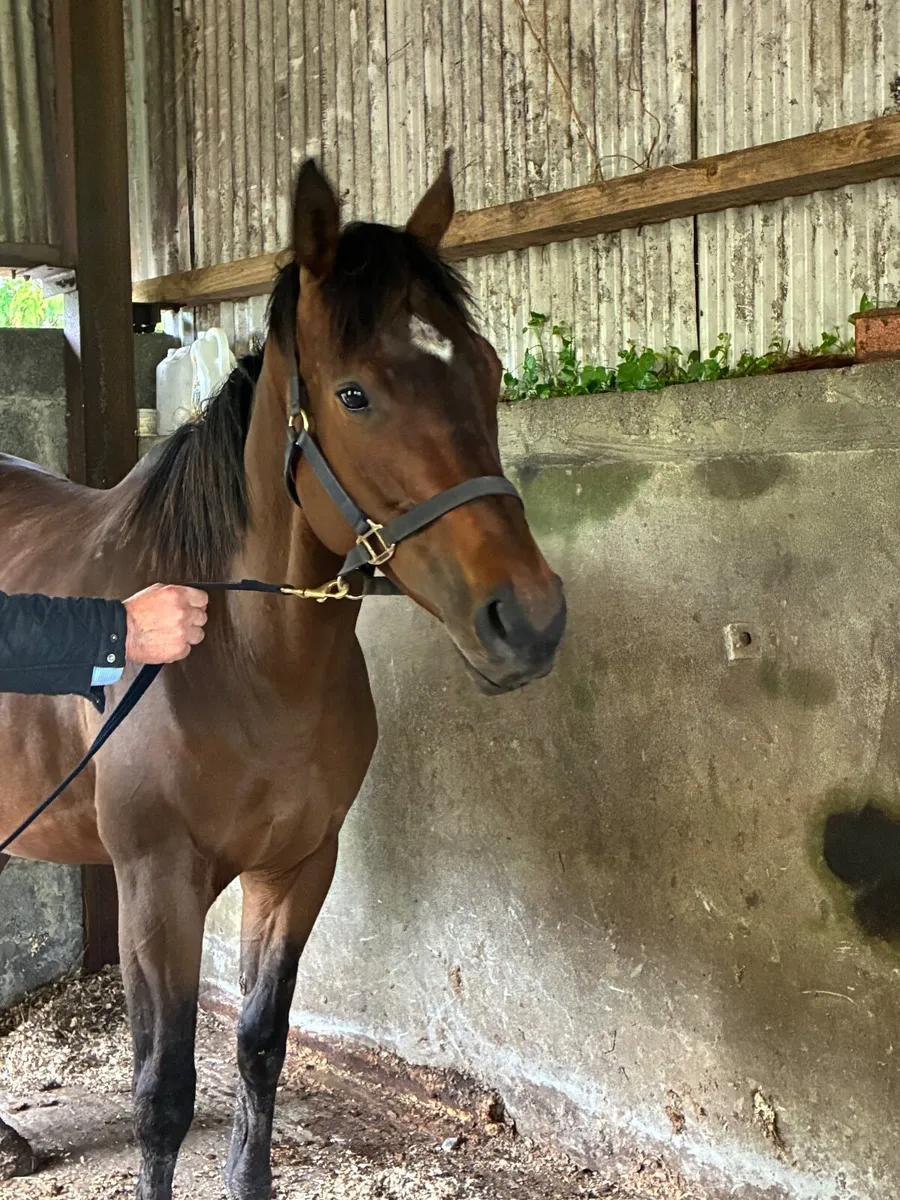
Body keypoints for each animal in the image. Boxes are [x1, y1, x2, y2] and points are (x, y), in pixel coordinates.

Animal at [0, 157, 566, 1199]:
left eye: (489, 370)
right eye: (354, 395)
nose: (531, 620)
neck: (249, 667)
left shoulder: (298, 867)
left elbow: (261, 1044)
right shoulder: (157, 887)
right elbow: (162, 1092)